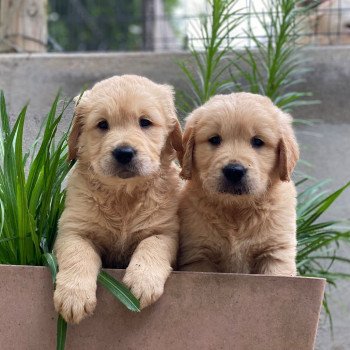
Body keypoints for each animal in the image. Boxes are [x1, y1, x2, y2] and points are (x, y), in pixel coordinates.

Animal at [53, 75, 183, 324]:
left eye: (145, 122)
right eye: (102, 125)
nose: (124, 152)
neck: (123, 195)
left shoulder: (165, 230)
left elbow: (152, 245)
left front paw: (142, 281)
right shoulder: (73, 230)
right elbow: (78, 254)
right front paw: (74, 295)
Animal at [179, 92, 300, 276]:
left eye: (257, 141)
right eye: (215, 139)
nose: (234, 171)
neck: (236, 210)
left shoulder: (275, 252)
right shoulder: (199, 254)